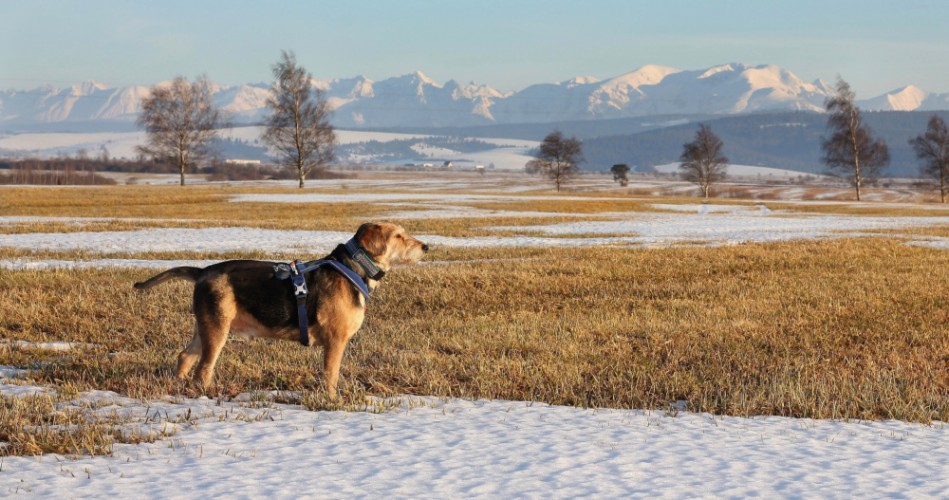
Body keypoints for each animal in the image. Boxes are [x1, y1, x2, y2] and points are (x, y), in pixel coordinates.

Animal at [133, 221, 430, 396]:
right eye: (398, 236)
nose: (426, 246)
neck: (353, 267)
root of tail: (202, 271)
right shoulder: (335, 340)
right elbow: (330, 374)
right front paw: (331, 399)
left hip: (205, 327)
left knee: (185, 356)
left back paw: (177, 386)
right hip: (217, 330)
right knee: (203, 369)